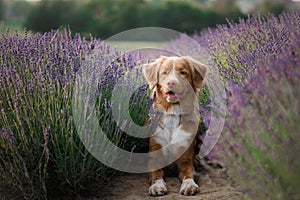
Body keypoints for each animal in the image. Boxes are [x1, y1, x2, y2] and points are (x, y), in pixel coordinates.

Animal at [143, 55, 209, 196]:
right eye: (164, 73)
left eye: (183, 72)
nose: (171, 83)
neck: (172, 112)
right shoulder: (155, 155)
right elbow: (156, 174)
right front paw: (157, 186)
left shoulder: (185, 158)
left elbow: (188, 173)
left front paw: (189, 185)